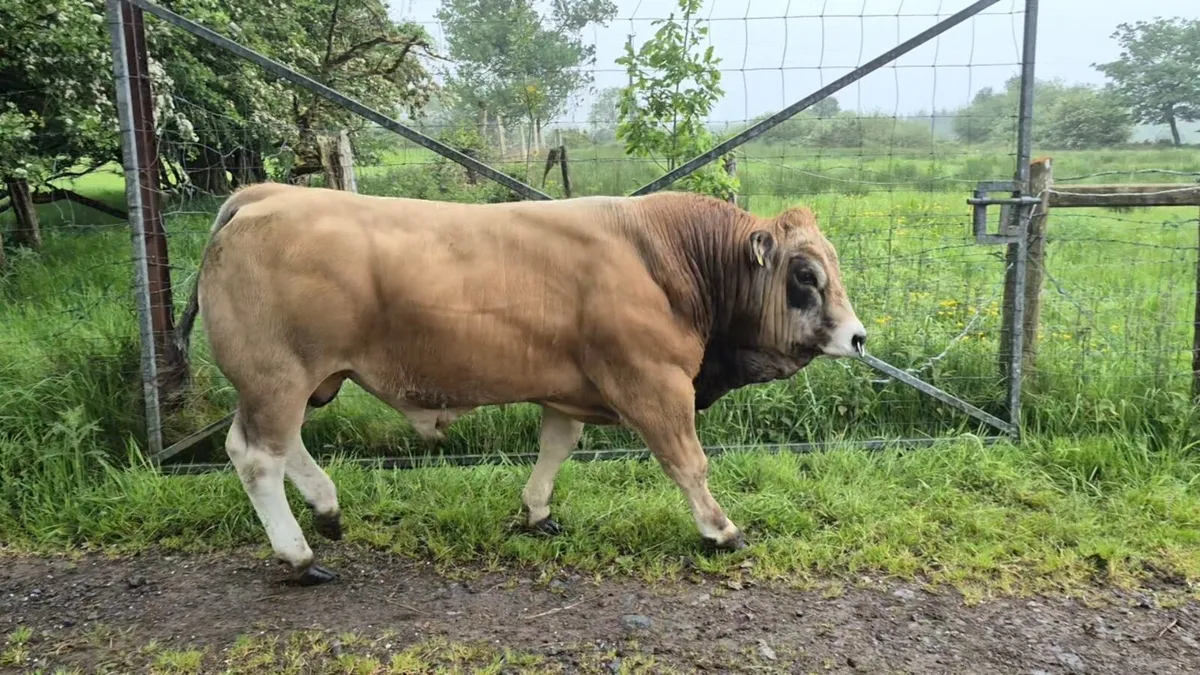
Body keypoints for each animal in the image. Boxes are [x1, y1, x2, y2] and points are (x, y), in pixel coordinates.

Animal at [174, 182, 867, 585]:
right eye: (805, 274)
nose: (859, 337)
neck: (665, 257)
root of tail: (263, 195)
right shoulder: (654, 385)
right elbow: (688, 463)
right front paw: (720, 531)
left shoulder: (571, 389)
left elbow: (556, 449)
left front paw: (537, 513)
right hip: (277, 376)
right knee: (256, 456)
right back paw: (299, 556)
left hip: (295, 382)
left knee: (280, 445)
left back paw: (327, 509)